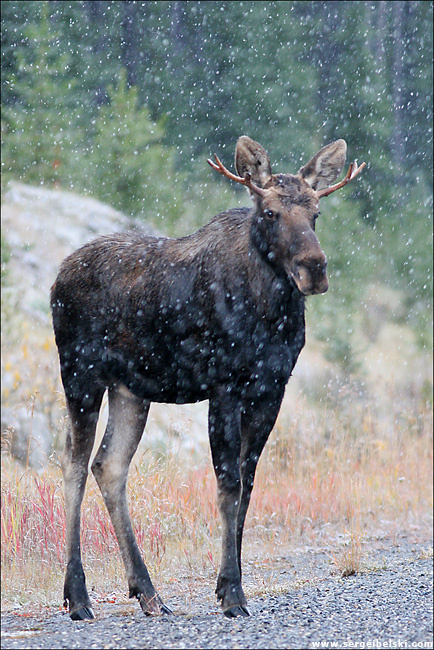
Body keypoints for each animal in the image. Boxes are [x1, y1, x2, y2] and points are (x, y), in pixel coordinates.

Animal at [51, 136, 365, 619]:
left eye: (316, 212)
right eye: (269, 212)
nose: (314, 267)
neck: (269, 314)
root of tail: (56, 280)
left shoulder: (271, 389)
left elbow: (248, 484)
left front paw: (231, 584)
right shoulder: (224, 387)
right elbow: (228, 485)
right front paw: (232, 592)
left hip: (131, 389)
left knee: (109, 464)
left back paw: (149, 593)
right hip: (80, 373)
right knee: (73, 462)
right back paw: (79, 597)